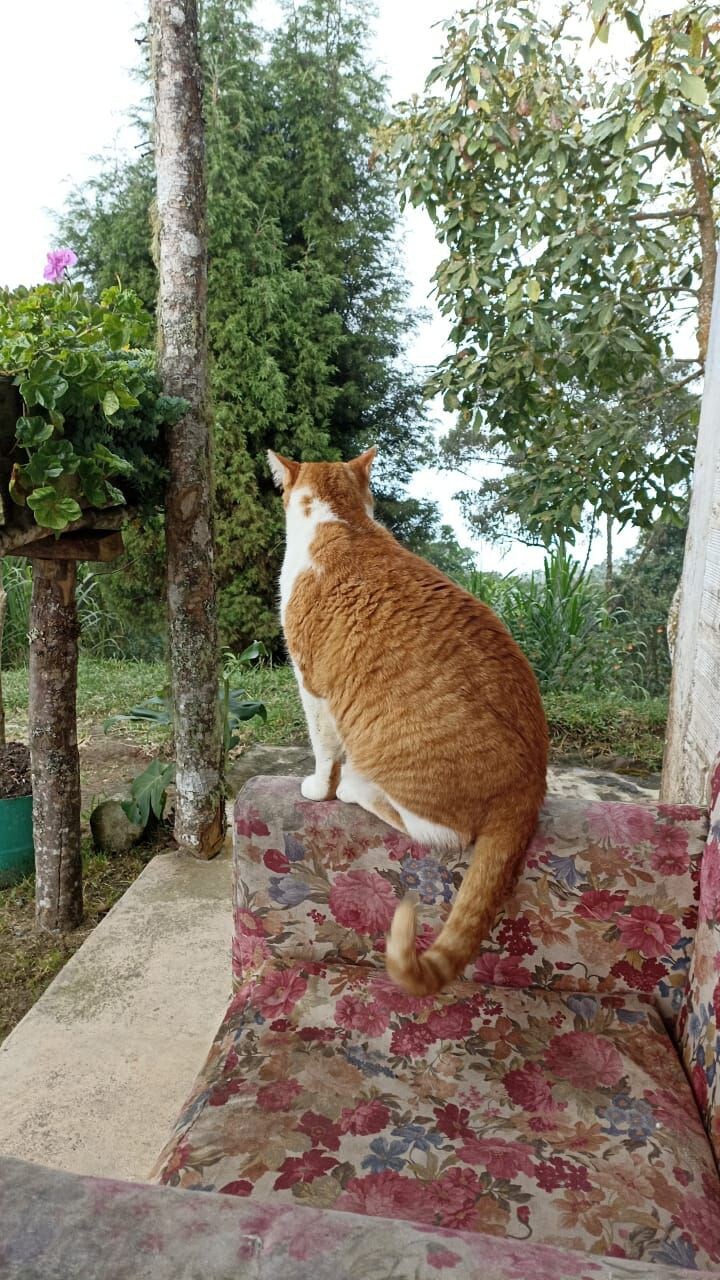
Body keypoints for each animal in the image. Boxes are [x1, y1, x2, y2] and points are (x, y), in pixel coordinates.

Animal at [267, 450, 543, 998]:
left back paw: (354, 787)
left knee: (437, 831)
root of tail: (532, 783)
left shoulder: (313, 688)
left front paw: (319, 788)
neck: (344, 523)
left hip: (396, 761)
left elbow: (323, 750)